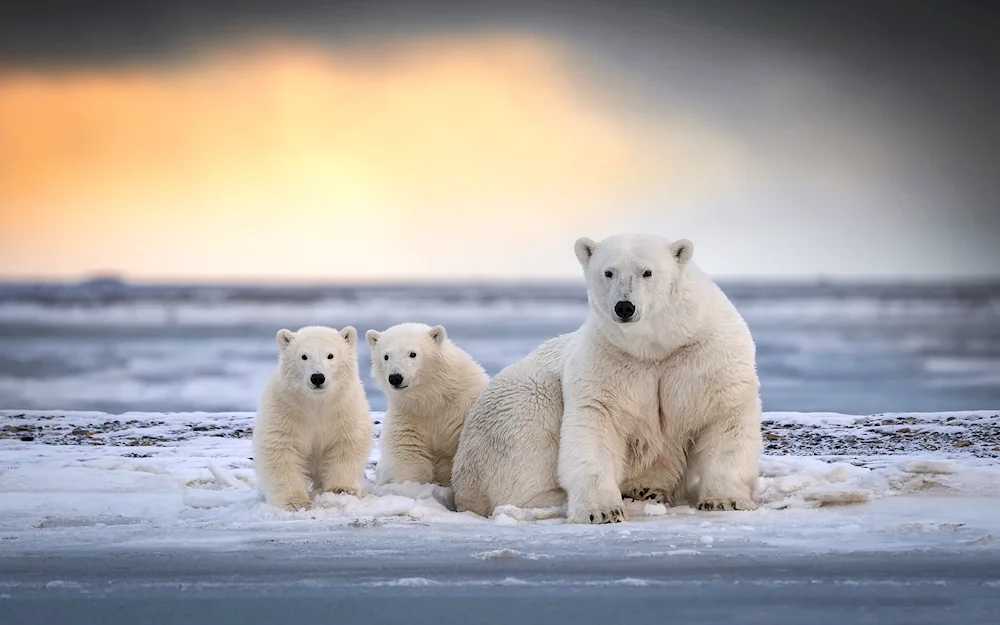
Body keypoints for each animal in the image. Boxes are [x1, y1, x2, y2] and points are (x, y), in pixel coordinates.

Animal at [252, 324, 374, 510]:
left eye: (330, 355)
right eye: (304, 356)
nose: (317, 377)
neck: (317, 403)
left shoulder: (344, 409)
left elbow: (345, 443)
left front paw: (342, 490)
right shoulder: (286, 410)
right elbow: (282, 448)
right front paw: (295, 501)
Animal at [368, 322, 492, 488]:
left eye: (412, 354)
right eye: (386, 356)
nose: (395, 377)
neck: (433, 399)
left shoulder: (462, 408)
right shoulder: (409, 417)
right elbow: (409, 453)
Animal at [450, 233, 760, 520]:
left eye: (647, 272)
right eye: (608, 272)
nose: (624, 307)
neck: (657, 348)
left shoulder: (704, 356)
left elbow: (725, 417)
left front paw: (725, 500)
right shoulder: (606, 359)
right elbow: (595, 424)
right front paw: (601, 511)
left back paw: (646, 490)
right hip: (515, 398)